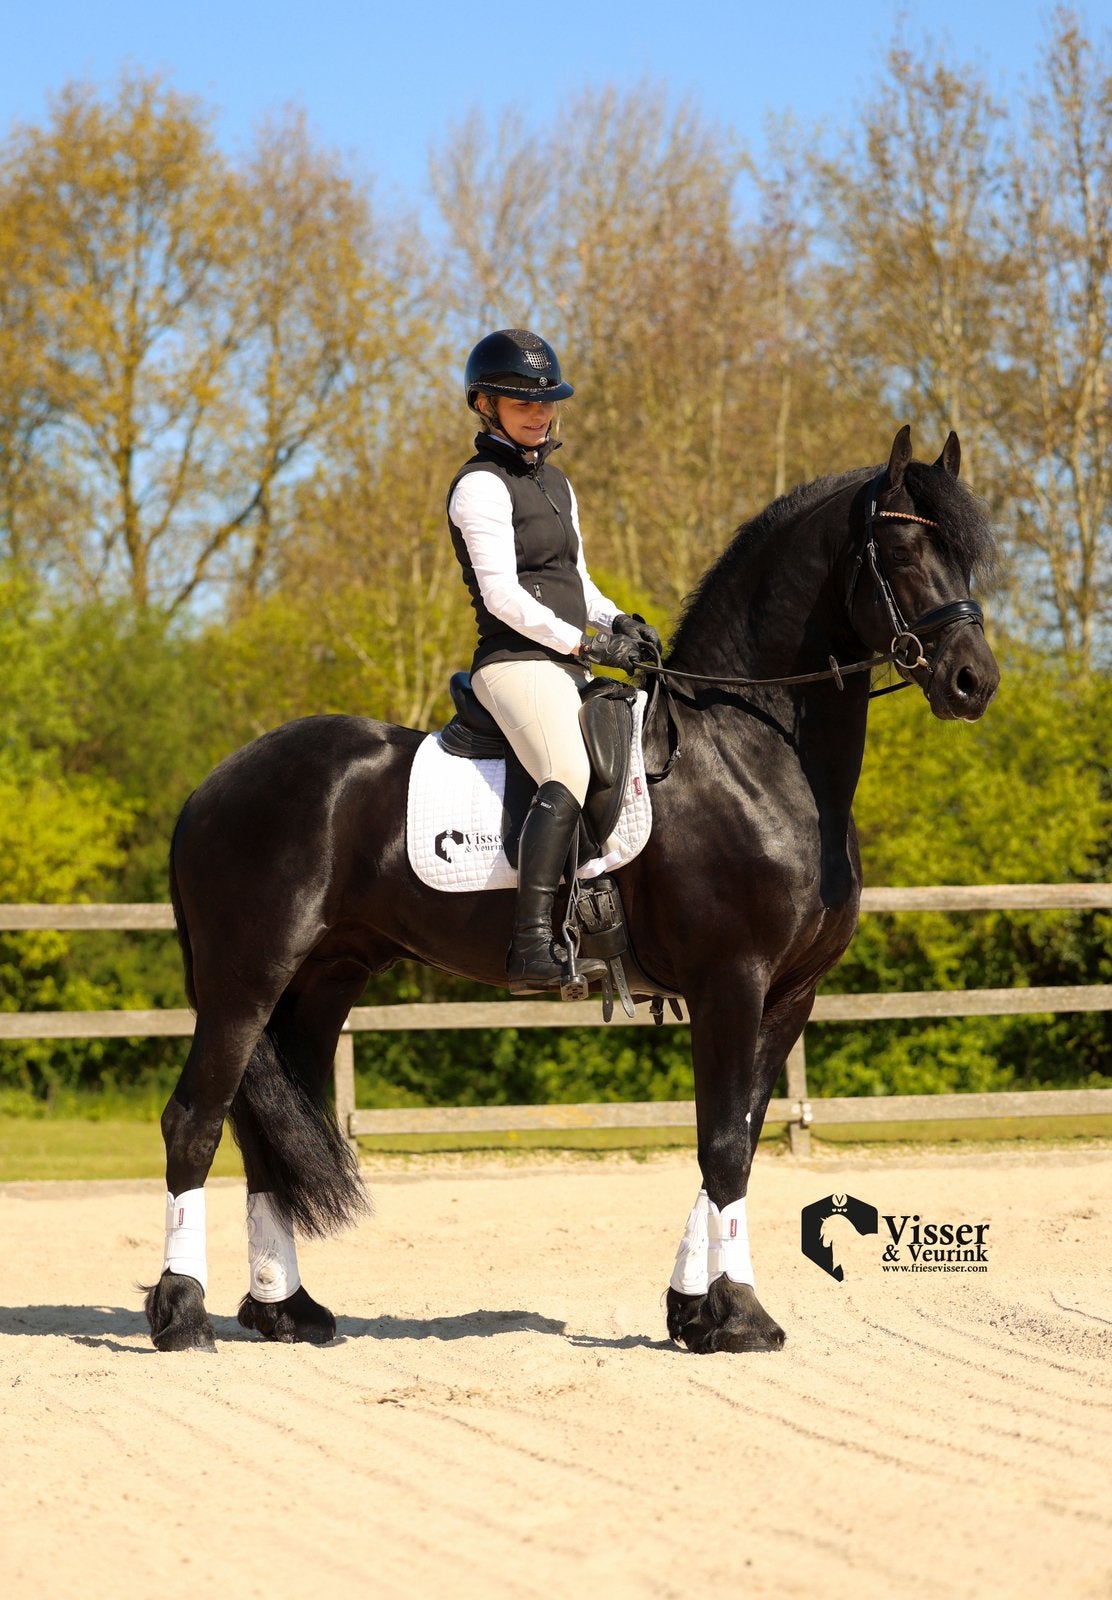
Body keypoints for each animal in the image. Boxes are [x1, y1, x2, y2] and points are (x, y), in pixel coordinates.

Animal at [145, 425, 1000, 1355]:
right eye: (902, 550)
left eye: (967, 556)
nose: (974, 681)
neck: (753, 755)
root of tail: (209, 787)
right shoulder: (730, 982)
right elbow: (721, 1145)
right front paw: (739, 1315)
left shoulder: (789, 993)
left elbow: (738, 1139)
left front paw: (694, 1312)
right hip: (245, 980)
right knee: (193, 1121)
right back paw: (181, 1315)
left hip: (319, 984)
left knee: (260, 1136)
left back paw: (285, 1311)